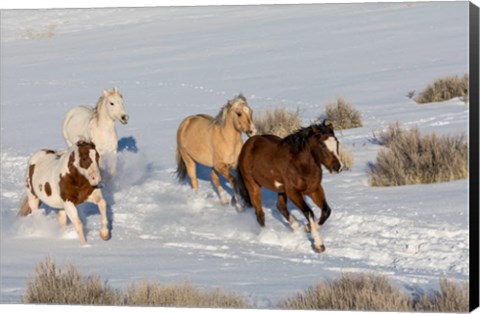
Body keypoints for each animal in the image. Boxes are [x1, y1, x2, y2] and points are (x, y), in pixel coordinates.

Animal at [235, 120, 342, 253]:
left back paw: (296, 228)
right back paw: (268, 236)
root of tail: (246, 146)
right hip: (252, 185)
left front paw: (307, 228)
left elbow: (326, 211)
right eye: (322, 145)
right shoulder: (293, 192)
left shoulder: (314, 189)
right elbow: (309, 212)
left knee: (280, 206)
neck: (300, 164)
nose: (337, 167)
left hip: (281, 190)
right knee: (260, 214)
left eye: (337, 142)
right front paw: (319, 245)